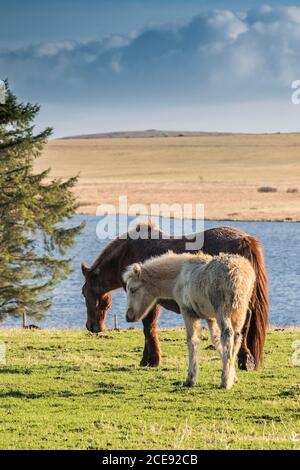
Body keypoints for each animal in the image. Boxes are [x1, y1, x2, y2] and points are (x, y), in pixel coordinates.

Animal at [81, 224, 268, 370]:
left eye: (83, 292)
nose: (92, 326)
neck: (128, 253)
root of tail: (244, 239)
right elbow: (149, 328)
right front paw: (149, 359)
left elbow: (148, 328)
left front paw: (151, 360)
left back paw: (243, 359)